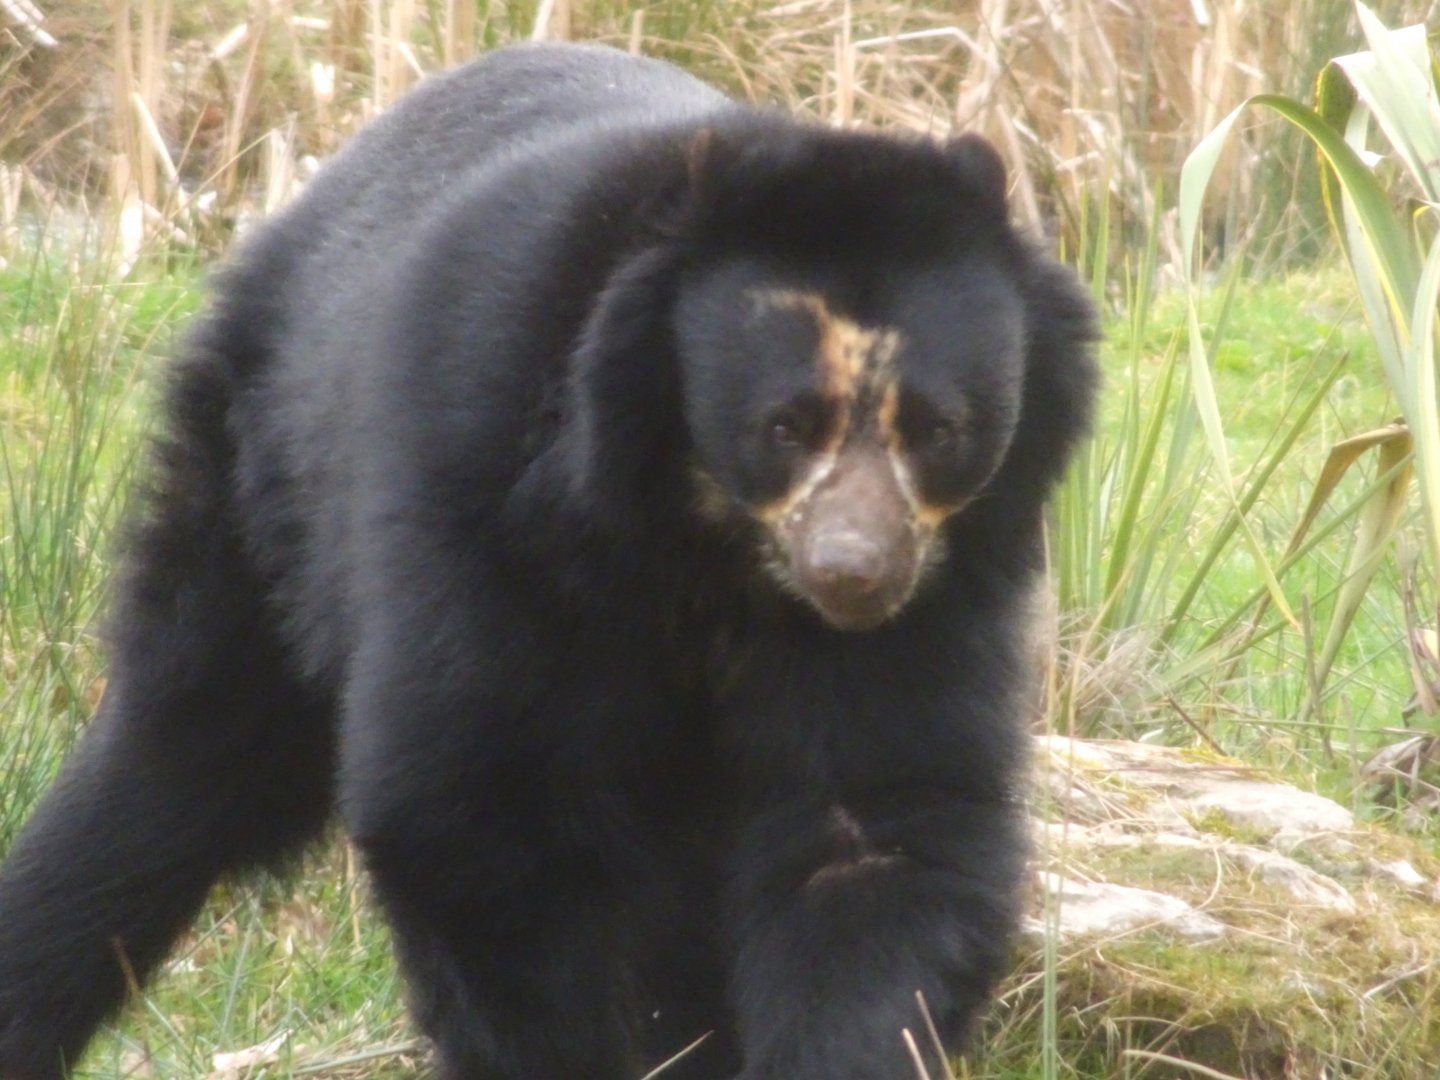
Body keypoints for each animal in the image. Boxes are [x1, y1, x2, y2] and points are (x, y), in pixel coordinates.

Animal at [0, 42, 1097, 1080]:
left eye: (938, 427)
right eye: (784, 426)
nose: (856, 574)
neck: (710, 552)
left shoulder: (949, 593)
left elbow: (878, 826)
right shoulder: (485, 493)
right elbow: (475, 804)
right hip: (261, 484)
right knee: (182, 752)